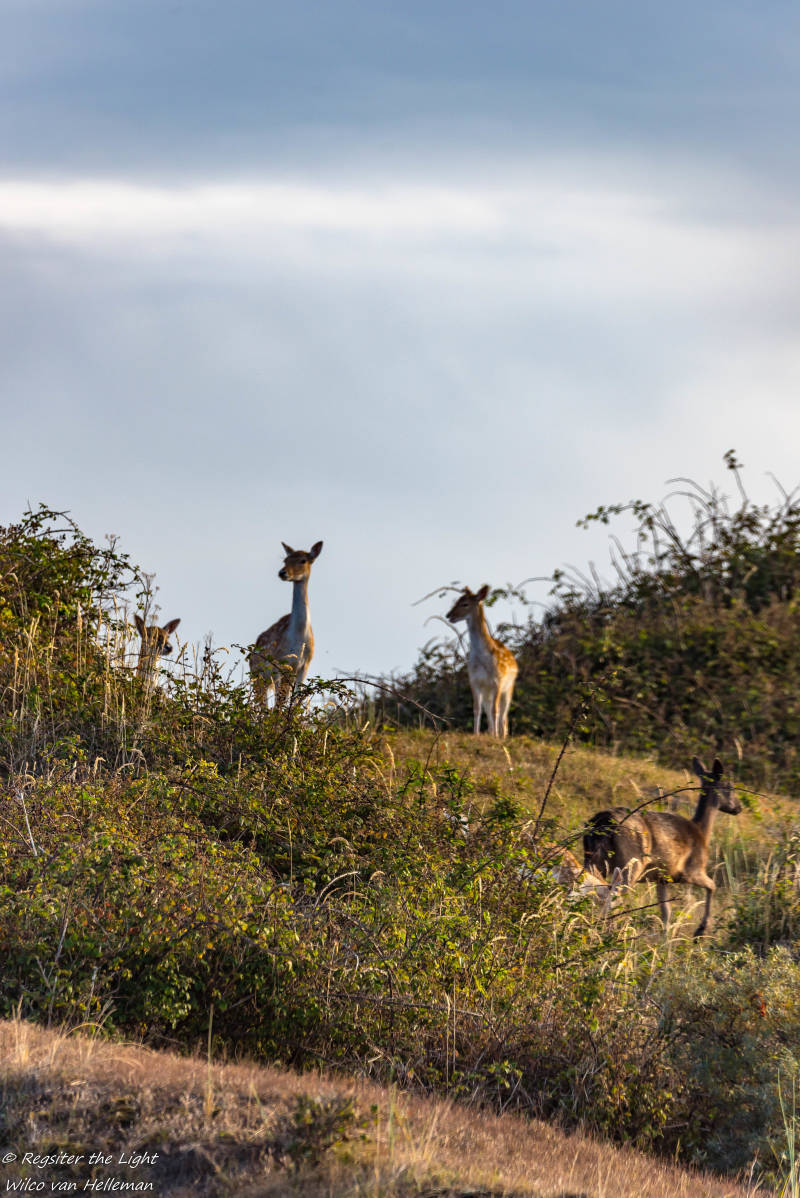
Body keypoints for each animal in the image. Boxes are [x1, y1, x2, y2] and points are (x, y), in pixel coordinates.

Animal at [249, 541, 323, 707]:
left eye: (303, 560)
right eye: (285, 560)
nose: (282, 572)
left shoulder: (304, 666)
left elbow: (294, 700)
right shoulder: (279, 663)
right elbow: (279, 704)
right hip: (257, 675)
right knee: (262, 704)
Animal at [446, 585, 518, 738]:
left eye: (465, 603)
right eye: (457, 600)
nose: (449, 615)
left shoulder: (498, 681)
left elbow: (495, 711)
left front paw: (496, 737)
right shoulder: (474, 681)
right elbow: (477, 709)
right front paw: (476, 734)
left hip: (508, 688)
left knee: (503, 715)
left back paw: (502, 736)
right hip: (487, 693)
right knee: (490, 711)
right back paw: (492, 732)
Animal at [583, 757, 743, 937]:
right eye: (730, 786)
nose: (738, 807)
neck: (702, 832)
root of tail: (603, 821)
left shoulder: (662, 877)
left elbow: (666, 912)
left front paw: (666, 939)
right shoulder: (691, 870)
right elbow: (712, 886)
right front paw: (700, 930)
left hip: (594, 858)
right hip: (632, 863)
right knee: (613, 895)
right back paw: (607, 930)